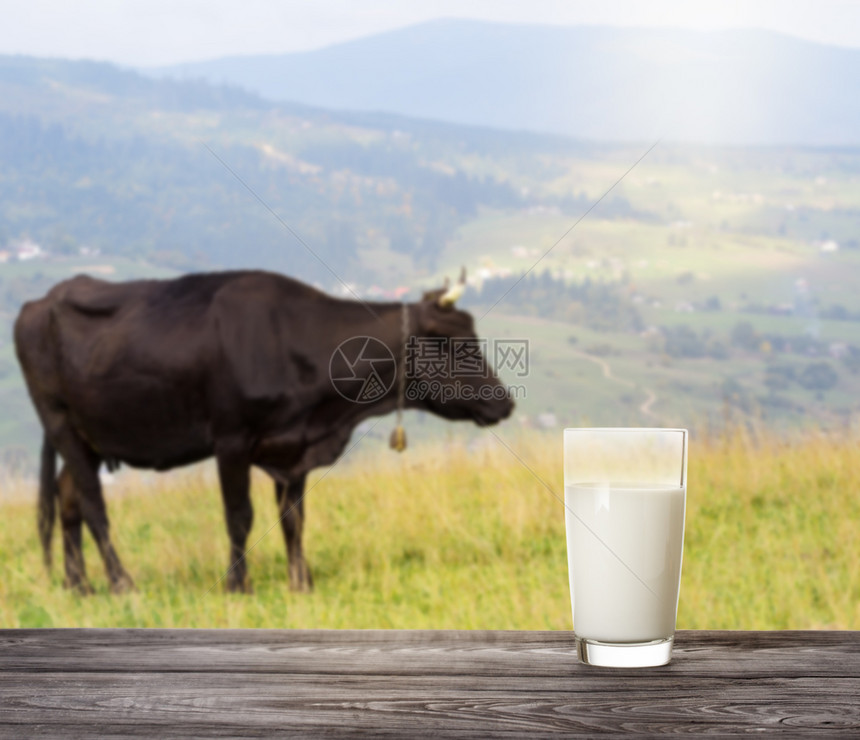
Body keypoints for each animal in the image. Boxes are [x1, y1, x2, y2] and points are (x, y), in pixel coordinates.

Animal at [13, 272, 512, 596]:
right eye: (458, 344)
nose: (505, 402)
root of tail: (40, 301)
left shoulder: (293, 449)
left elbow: (294, 518)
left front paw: (301, 583)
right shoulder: (231, 440)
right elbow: (240, 516)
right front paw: (239, 584)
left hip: (92, 436)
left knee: (68, 500)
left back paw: (78, 585)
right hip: (61, 423)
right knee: (93, 506)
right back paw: (120, 583)